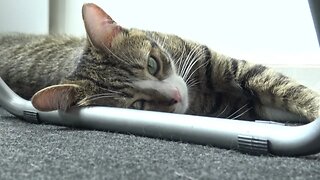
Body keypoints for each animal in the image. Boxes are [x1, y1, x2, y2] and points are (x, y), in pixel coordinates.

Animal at [0, 3, 320, 122]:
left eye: (152, 65)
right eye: (138, 105)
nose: (176, 95)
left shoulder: (225, 65)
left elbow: (287, 87)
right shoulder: (232, 106)